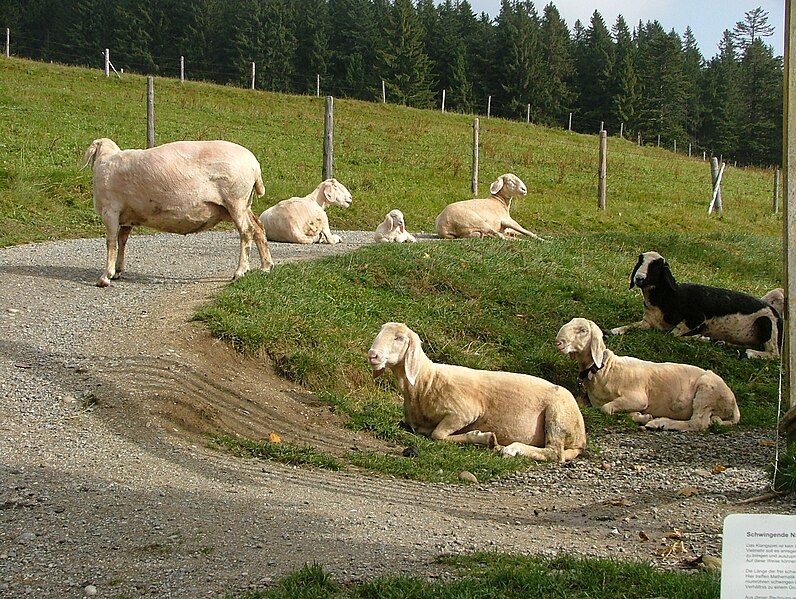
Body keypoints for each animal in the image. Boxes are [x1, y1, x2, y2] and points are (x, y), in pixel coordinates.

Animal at [81, 137, 274, 288]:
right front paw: (118, 271)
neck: (105, 160)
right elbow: (122, 241)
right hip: (243, 203)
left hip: (235, 199)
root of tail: (255, 166)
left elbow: (111, 243)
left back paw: (240, 271)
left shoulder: (110, 211)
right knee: (258, 228)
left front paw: (105, 277)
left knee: (246, 231)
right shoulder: (127, 217)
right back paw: (266, 266)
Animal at [366, 322, 584, 462]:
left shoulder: (464, 412)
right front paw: (486, 439)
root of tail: (581, 438)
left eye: (399, 338)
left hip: (557, 417)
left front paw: (482, 437)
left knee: (555, 453)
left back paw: (511, 449)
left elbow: (437, 435)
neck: (425, 382)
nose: (372, 355)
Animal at [552, 318, 740, 432]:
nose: (558, 342)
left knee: (698, 423)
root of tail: (734, 407)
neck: (605, 370)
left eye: (583, 330)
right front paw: (641, 416)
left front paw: (645, 417)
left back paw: (661, 423)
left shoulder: (638, 398)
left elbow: (606, 408)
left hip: (707, 391)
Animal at [608, 251, 784, 358]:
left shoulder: (697, 318)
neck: (668, 298)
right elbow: (630, 325)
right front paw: (614, 330)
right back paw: (723, 343)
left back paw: (750, 353)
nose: (639, 278)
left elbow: (673, 334)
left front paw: (699, 338)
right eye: (640, 262)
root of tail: (777, 313)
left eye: (656, 267)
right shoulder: (648, 321)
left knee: (774, 354)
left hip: (767, 324)